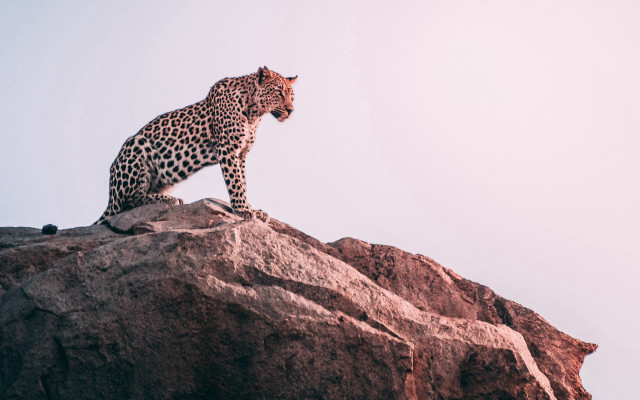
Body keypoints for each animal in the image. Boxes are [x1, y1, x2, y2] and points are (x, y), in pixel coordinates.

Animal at [94, 66, 296, 225]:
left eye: (292, 96)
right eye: (279, 92)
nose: (291, 110)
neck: (254, 113)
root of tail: (110, 198)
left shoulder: (241, 154)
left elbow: (243, 182)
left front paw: (252, 209)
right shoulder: (228, 149)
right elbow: (236, 182)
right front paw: (243, 210)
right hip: (137, 145)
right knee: (127, 203)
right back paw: (168, 199)